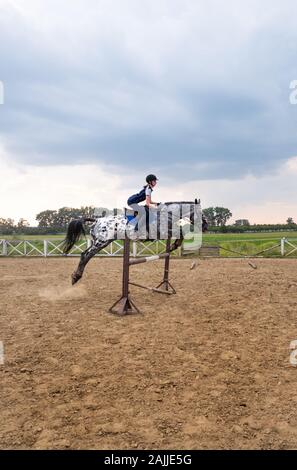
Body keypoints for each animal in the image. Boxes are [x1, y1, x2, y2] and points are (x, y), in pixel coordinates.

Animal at [61, 198, 208, 282]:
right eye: (201, 212)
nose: (206, 226)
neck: (167, 214)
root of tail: (97, 220)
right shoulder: (161, 231)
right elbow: (180, 232)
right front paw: (175, 245)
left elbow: (180, 232)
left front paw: (173, 246)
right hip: (101, 242)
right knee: (86, 255)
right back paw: (76, 276)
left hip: (102, 242)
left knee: (84, 254)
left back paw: (76, 276)